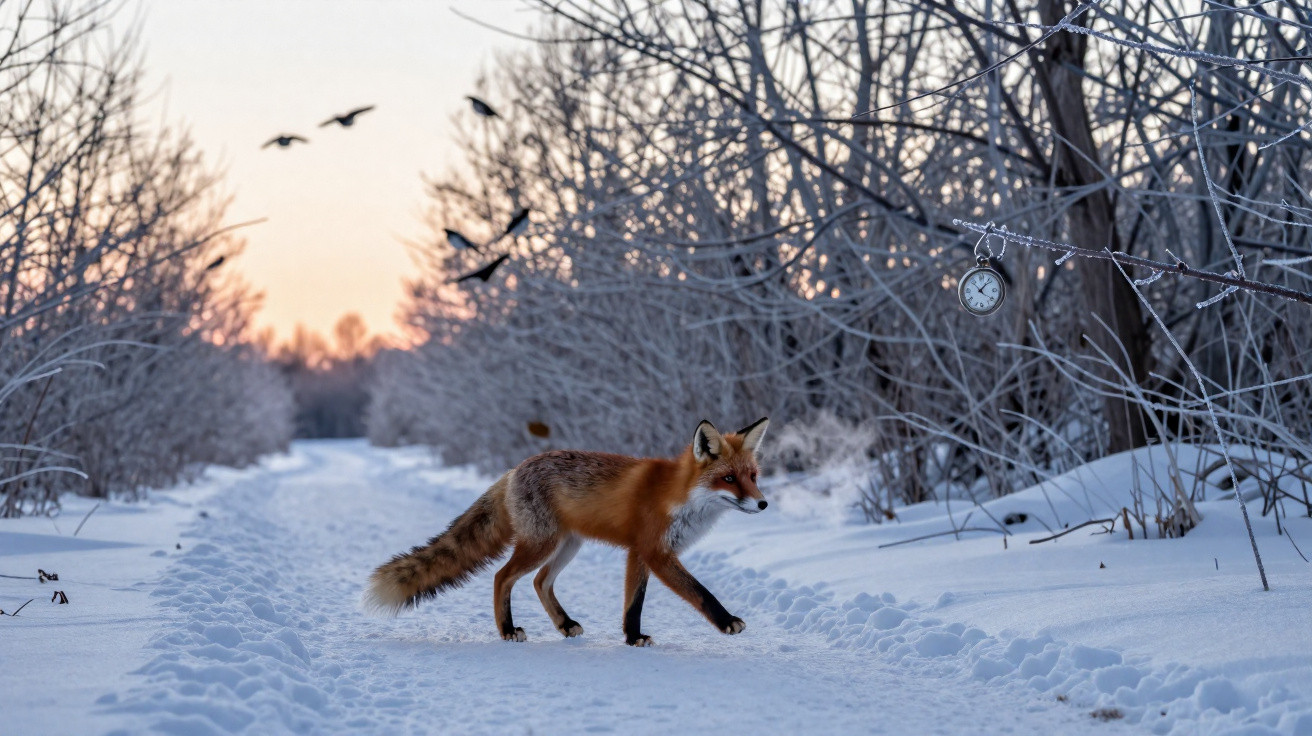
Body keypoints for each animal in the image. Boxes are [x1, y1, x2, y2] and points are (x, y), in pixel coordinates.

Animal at [364, 417, 770, 646]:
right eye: (728, 479)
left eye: (752, 476)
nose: (764, 504)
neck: (680, 496)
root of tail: (513, 470)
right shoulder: (655, 552)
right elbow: (699, 592)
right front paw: (726, 621)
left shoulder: (638, 552)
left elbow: (633, 603)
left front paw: (632, 637)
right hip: (542, 545)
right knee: (502, 577)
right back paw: (507, 630)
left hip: (567, 546)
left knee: (539, 581)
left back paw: (564, 624)